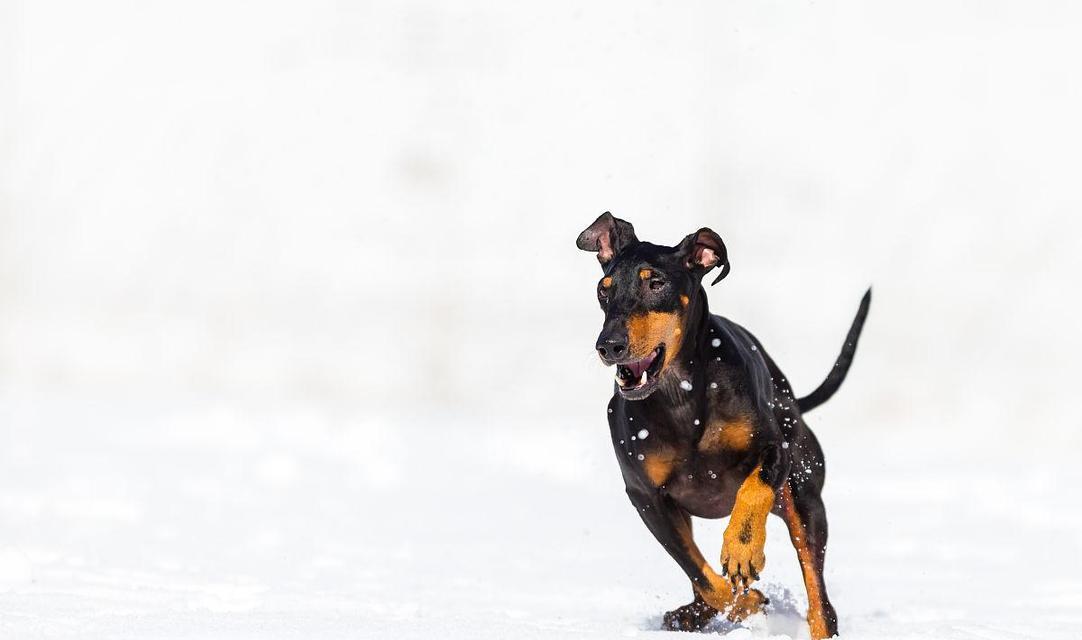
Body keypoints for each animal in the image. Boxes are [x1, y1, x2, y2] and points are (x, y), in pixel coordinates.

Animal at [575, 213, 869, 636]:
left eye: (656, 283)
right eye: (604, 289)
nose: (608, 345)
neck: (681, 395)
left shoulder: (775, 450)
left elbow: (754, 488)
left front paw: (742, 550)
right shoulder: (646, 496)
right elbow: (700, 574)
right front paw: (745, 602)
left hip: (804, 497)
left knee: (819, 598)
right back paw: (691, 614)